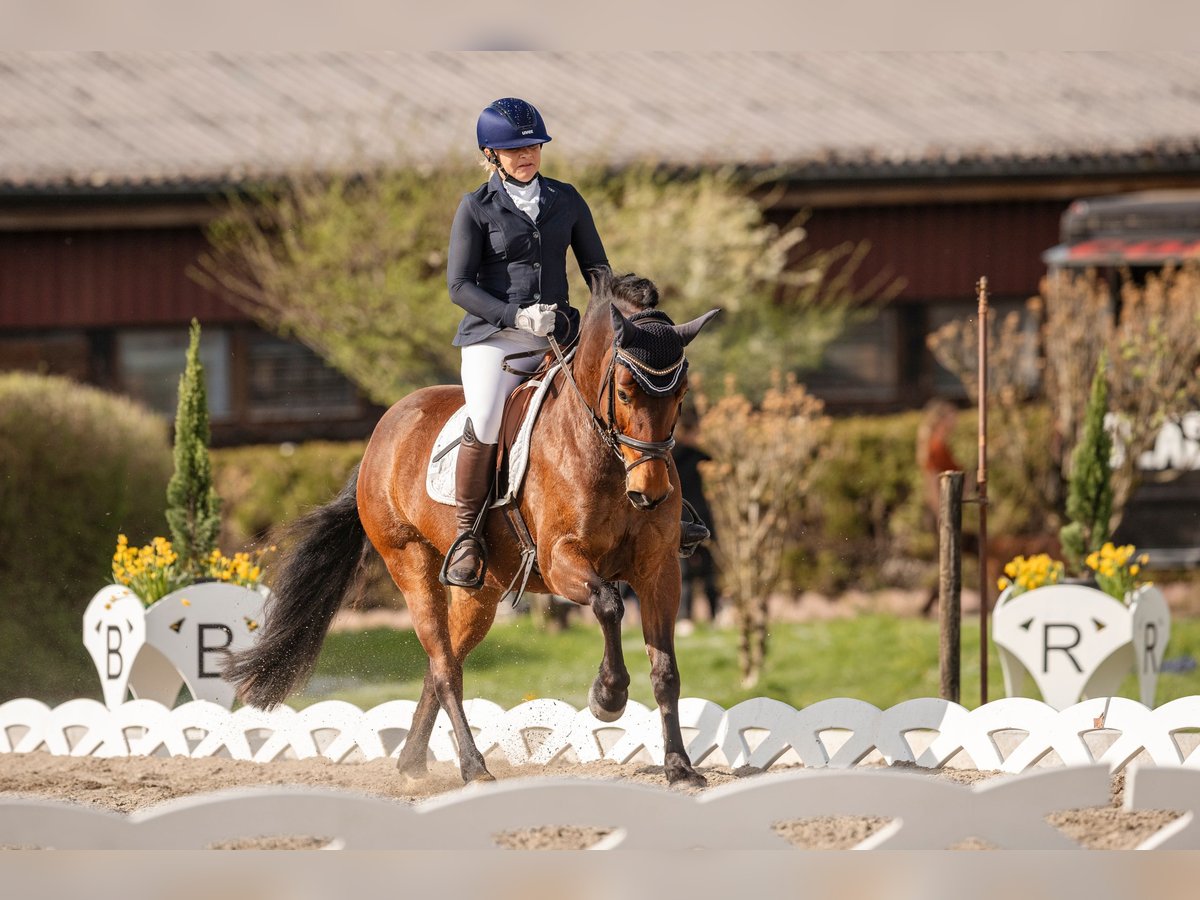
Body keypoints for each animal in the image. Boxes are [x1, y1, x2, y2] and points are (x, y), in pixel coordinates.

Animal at [222, 270, 715, 787]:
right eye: (623, 392)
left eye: (680, 395)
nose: (649, 493)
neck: (601, 451)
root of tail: (383, 431)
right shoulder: (560, 561)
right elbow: (608, 604)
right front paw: (608, 697)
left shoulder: (660, 571)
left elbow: (666, 671)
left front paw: (680, 768)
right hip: (410, 564)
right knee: (444, 669)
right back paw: (473, 766)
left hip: (481, 591)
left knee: (444, 661)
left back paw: (412, 762)